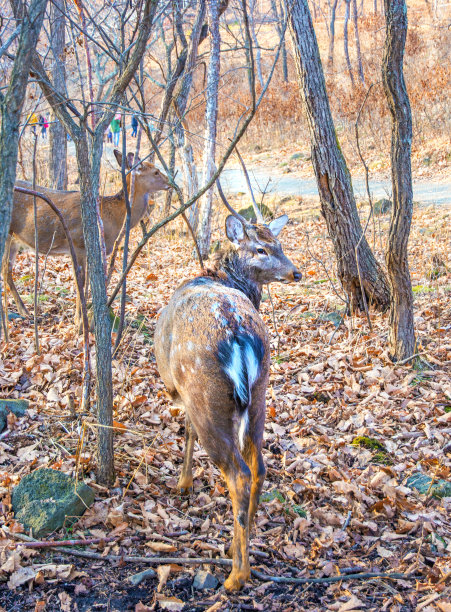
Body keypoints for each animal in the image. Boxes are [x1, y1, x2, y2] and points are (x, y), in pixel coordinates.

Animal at [3, 150, 170, 322]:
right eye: (156, 171)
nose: (169, 182)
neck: (112, 217)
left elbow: (88, 279)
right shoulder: (78, 243)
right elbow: (80, 280)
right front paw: (79, 319)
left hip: (14, 238)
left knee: (6, 270)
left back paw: (22, 311)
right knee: (5, 268)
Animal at [154, 189, 302, 592]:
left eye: (279, 244)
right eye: (263, 248)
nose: (296, 272)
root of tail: (238, 336)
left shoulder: (179, 389)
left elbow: (186, 431)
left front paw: (183, 483)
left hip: (205, 393)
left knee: (238, 472)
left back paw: (237, 574)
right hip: (261, 391)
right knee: (259, 465)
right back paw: (241, 544)